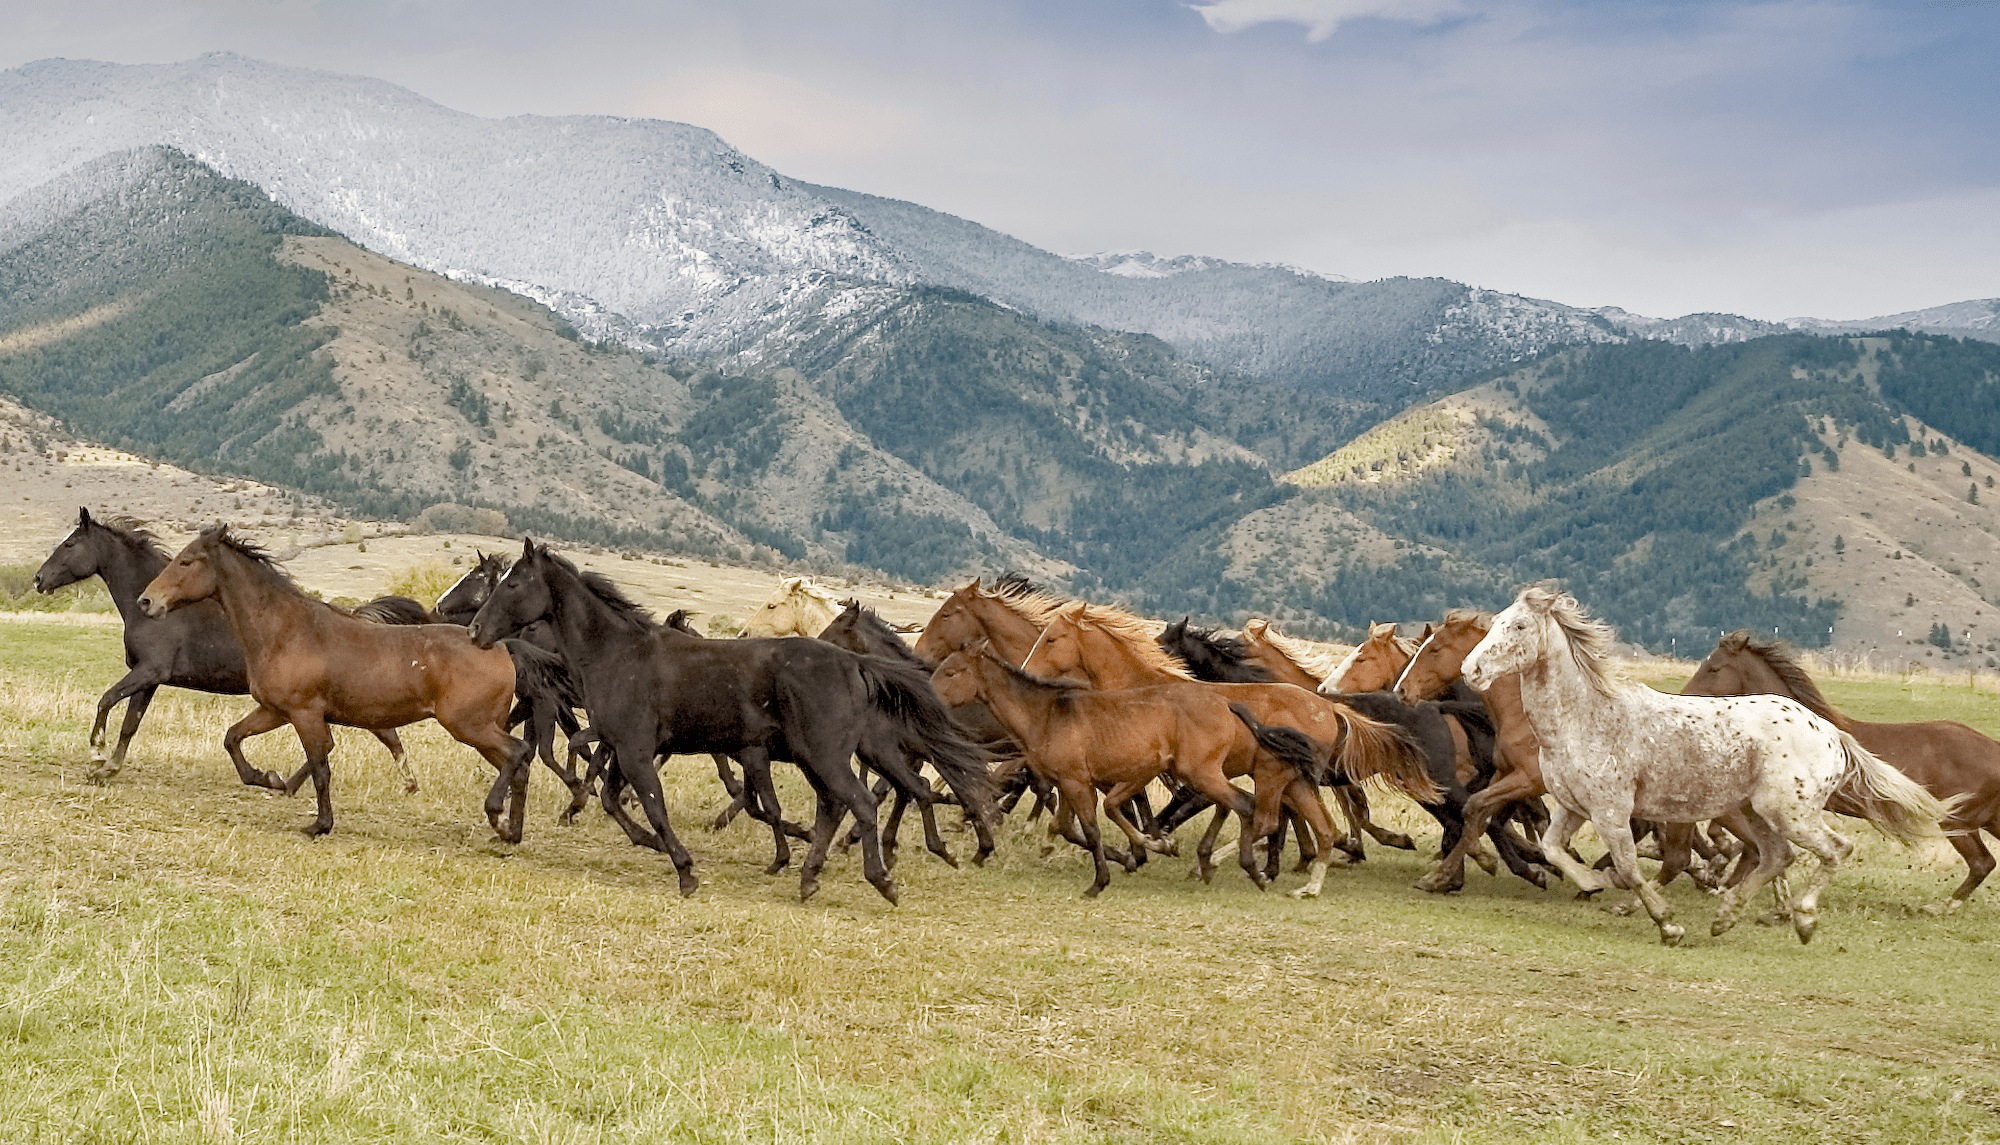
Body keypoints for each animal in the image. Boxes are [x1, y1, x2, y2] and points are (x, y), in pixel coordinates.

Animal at [34, 510, 422, 788]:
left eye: (70, 545)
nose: (38, 579)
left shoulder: (149, 671)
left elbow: (107, 701)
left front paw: (97, 756)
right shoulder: (150, 678)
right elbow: (130, 723)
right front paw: (108, 769)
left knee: (371, 738)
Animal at [139, 528, 532, 840]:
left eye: (187, 561)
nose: (146, 601)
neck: (286, 631)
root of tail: (499, 648)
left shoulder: (305, 714)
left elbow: (320, 768)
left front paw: (320, 824)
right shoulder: (275, 711)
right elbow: (233, 738)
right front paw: (269, 778)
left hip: (470, 726)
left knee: (517, 754)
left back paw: (497, 816)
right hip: (480, 731)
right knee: (520, 764)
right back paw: (510, 831)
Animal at [470, 540, 1000, 904]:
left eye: (512, 584)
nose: (475, 630)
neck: (618, 654)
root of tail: (854, 662)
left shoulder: (638, 750)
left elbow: (653, 805)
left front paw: (685, 870)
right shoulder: (624, 747)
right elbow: (613, 799)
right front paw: (650, 844)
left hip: (827, 755)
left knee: (864, 802)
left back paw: (880, 879)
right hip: (823, 757)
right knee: (842, 805)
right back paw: (810, 876)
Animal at [1464, 584, 1944, 944]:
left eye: (1519, 625)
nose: (1472, 670)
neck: (1585, 718)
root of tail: (1829, 733)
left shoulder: (1612, 811)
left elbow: (1631, 868)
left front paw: (1666, 923)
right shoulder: (1572, 807)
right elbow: (1553, 849)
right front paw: (1592, 883)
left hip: (1790, 813)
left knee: (1834, 850)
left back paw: (1803, 919)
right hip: (1757, 813)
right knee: (1776, 857)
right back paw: (1726, 916)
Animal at [1688, 624, 2000, 912]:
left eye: (1714, 668)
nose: (1684, 696)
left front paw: (1719, 875)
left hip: (1958, 822)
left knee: (1981, 862)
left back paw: (1940, 907)